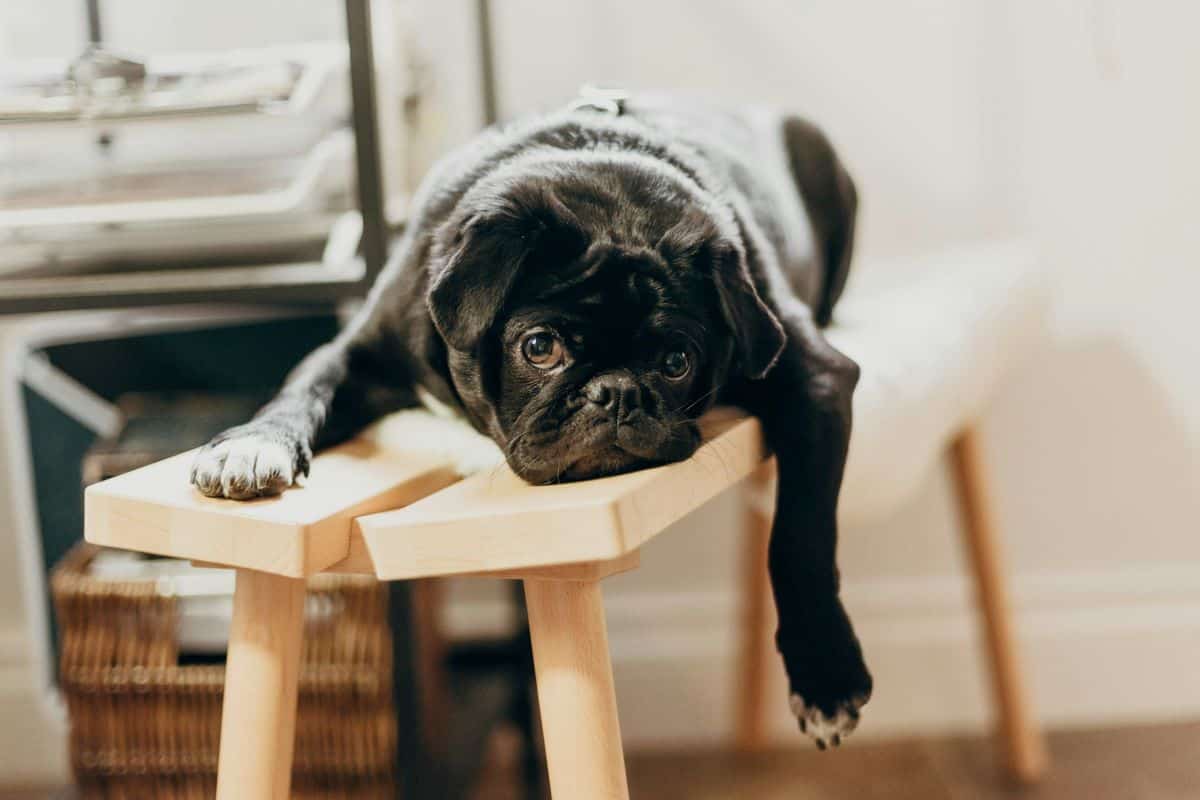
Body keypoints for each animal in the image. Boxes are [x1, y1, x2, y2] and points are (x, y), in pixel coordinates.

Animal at [194, 94, 873, 753]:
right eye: (540, 348)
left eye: (677, 362)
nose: (617, 392)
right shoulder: (355, 352)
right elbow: (302, 388)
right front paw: (252, 446)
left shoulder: (815, 380)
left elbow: (801, 538)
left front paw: (825, 671)